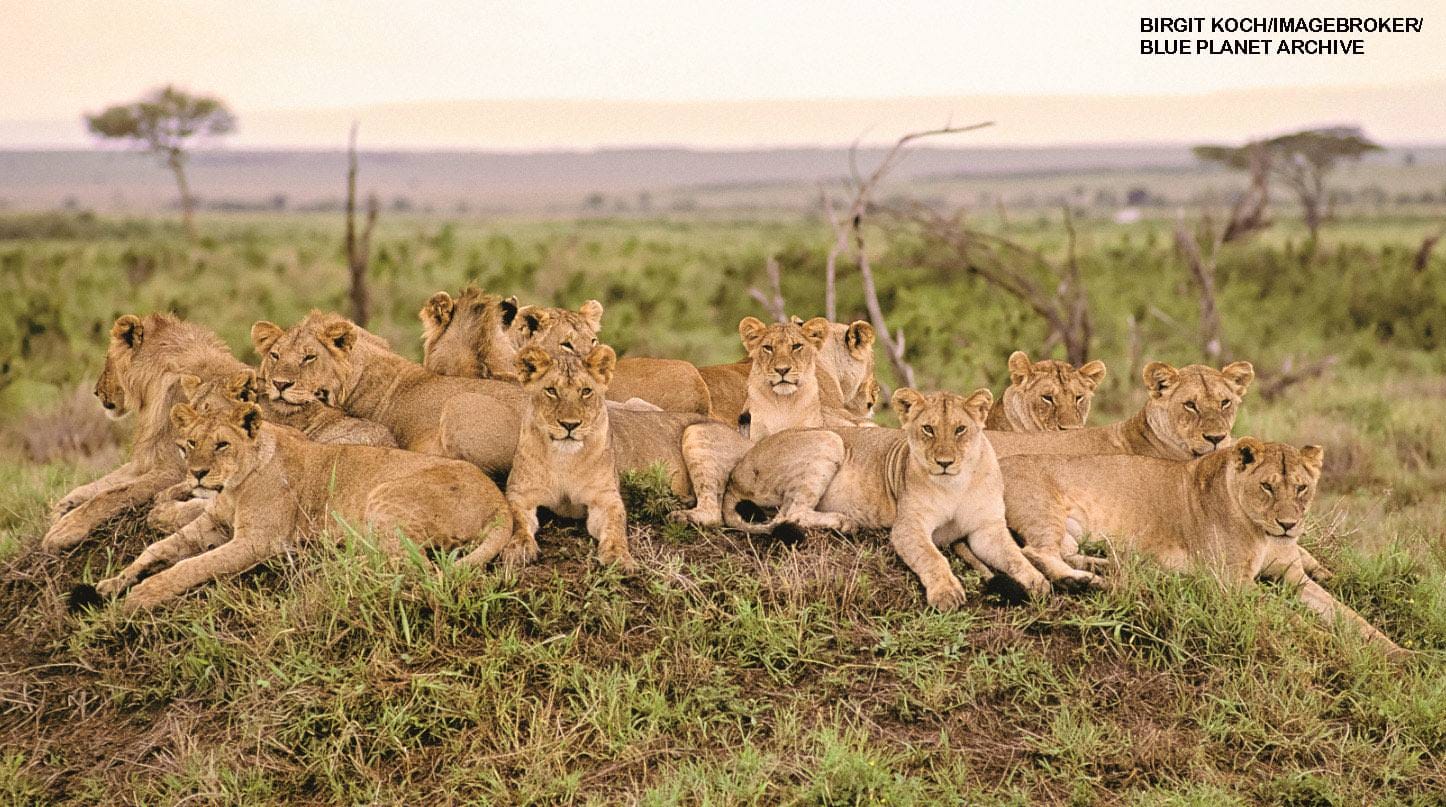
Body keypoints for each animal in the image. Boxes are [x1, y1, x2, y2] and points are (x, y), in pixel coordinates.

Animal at [43, 313, 249, 551]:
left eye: (107, 361)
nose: (95, 392)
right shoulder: (149, 459)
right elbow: (110, 480)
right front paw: (65, 504)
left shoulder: (175, 469)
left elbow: (115, 492)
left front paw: (65, 529)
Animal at [81, 400, 510, 611]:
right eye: (190, 443)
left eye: (222, 444)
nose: (198, 474)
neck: (233, 486)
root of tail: (500, 500)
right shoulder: (213, 525)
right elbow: (158, 548)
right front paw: (113, 582)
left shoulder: (257, 541)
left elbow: (191, 566)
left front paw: (142, 597)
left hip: (384, 497)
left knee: (414, 569)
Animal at [462, 344, 750, 571]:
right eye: (551, 390)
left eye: (586, 391)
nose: (570, 425)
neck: (564, 459)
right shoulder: (521, 495)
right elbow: (519, 522)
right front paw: (520, 547)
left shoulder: (605, 499)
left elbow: (615, 528)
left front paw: (619, 558)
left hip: (695, 432)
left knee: (714, 512)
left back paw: (680, 514)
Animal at [723, 388, 1050, 610]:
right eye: (928, 429)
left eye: (960, 429)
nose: (944, 463)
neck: (956, 484)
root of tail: (736, 470)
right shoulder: (908, 527)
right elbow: (933, 558)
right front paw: (946, 593)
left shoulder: (987, 529)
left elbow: (1013, 555)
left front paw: (1038, 582)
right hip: (829, 439)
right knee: (790, 512)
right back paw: (845, 522)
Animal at [1000, 438, 1403, 656]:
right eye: (1268, 487)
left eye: (1301, 488)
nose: (1289, 525)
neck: (1264, 533)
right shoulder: (1231, 582)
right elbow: (1290, 617)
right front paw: (1329, 644)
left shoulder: (1295, 576)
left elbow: (1349, 616)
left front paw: (1399, 653)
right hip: (1044, 510)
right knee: (1036, 554)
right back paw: (1087, 581)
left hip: (1073, 530)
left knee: (1064, 553)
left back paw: (1115, 567)